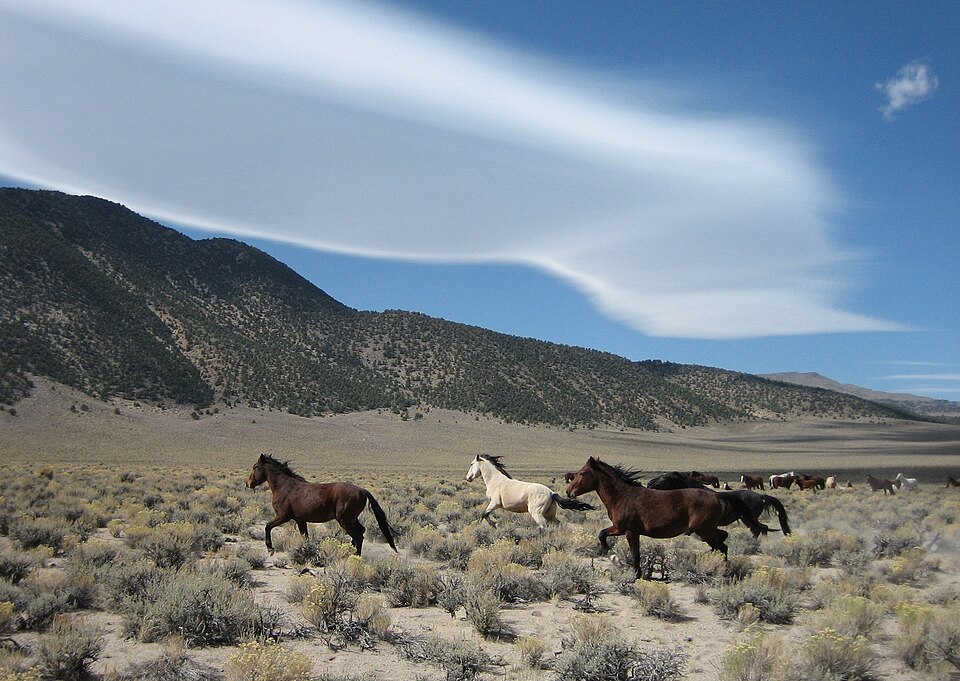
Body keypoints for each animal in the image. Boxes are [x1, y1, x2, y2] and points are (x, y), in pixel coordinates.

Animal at [246, 454, 398, 555]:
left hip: (345, 520)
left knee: (358, 536)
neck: (285, 486)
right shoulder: (300, 520)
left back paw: (355, 556)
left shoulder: (283, 516)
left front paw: (270, 548)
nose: (248, 483)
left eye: (255, 467)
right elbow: (305, 536)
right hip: (351, 519)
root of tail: (362, 490)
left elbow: (267, 526)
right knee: (361, 532)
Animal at [565, 457, 769, 579]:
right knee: (721, 541)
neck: (623, 496)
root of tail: (717, 496)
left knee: (722, 545)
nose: (568, 491)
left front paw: (634, 574)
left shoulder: (629, 531)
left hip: (704, 530)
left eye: (582, 473)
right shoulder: (620, 529)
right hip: (706, 530)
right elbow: (602, 533)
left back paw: (722, 570)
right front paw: (607, 551)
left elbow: (635, 554)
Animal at [646, 472, 791, 537]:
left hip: (749, 518)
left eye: (665, 477)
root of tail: (761, 496)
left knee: (760, 529)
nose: (649, 483)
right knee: (761, 528)